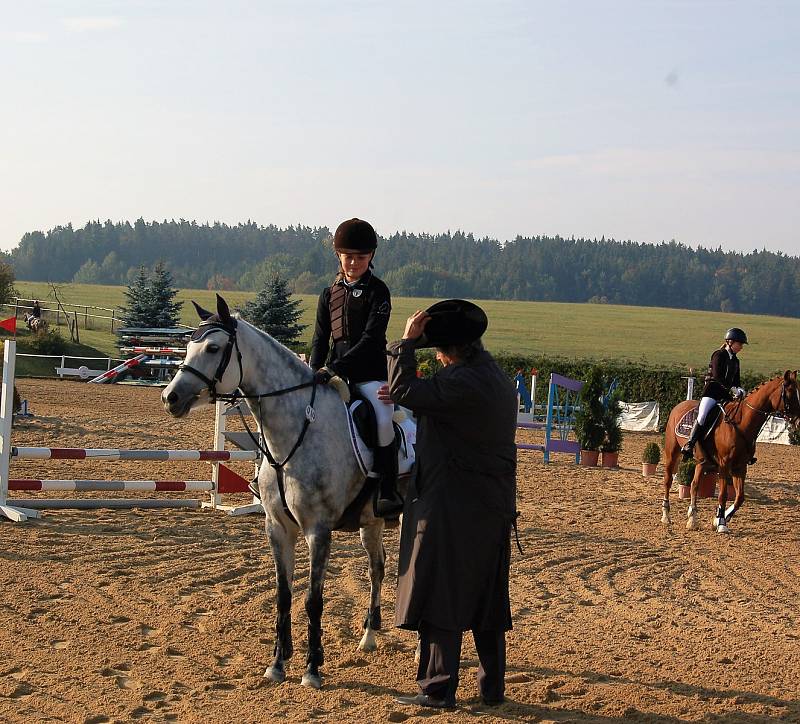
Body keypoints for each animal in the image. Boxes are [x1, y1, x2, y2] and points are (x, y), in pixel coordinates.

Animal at [162, 296, 404, 692]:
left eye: (213, 348)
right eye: (187, 347)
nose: (171, 398)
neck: (296, 431)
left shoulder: (318, 531)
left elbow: (312, 599)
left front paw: (312, 668)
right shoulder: (277, 528)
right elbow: (283, 595)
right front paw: (277, 663)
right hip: (371, 523)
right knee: (377, 568)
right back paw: (368, 637)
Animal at [664, 374, 800, 532]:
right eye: (790, 393)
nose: (798, 422)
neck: (741, 422)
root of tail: (679, 405)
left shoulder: (740, 466)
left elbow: (740, 497)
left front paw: (719, 518)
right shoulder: (724, 465)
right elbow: (723, 494)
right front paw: (722, 523)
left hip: (701, 462)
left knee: (694, 485)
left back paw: (693, 519)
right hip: (672, 453)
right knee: (668, 481)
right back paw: (666, 516)